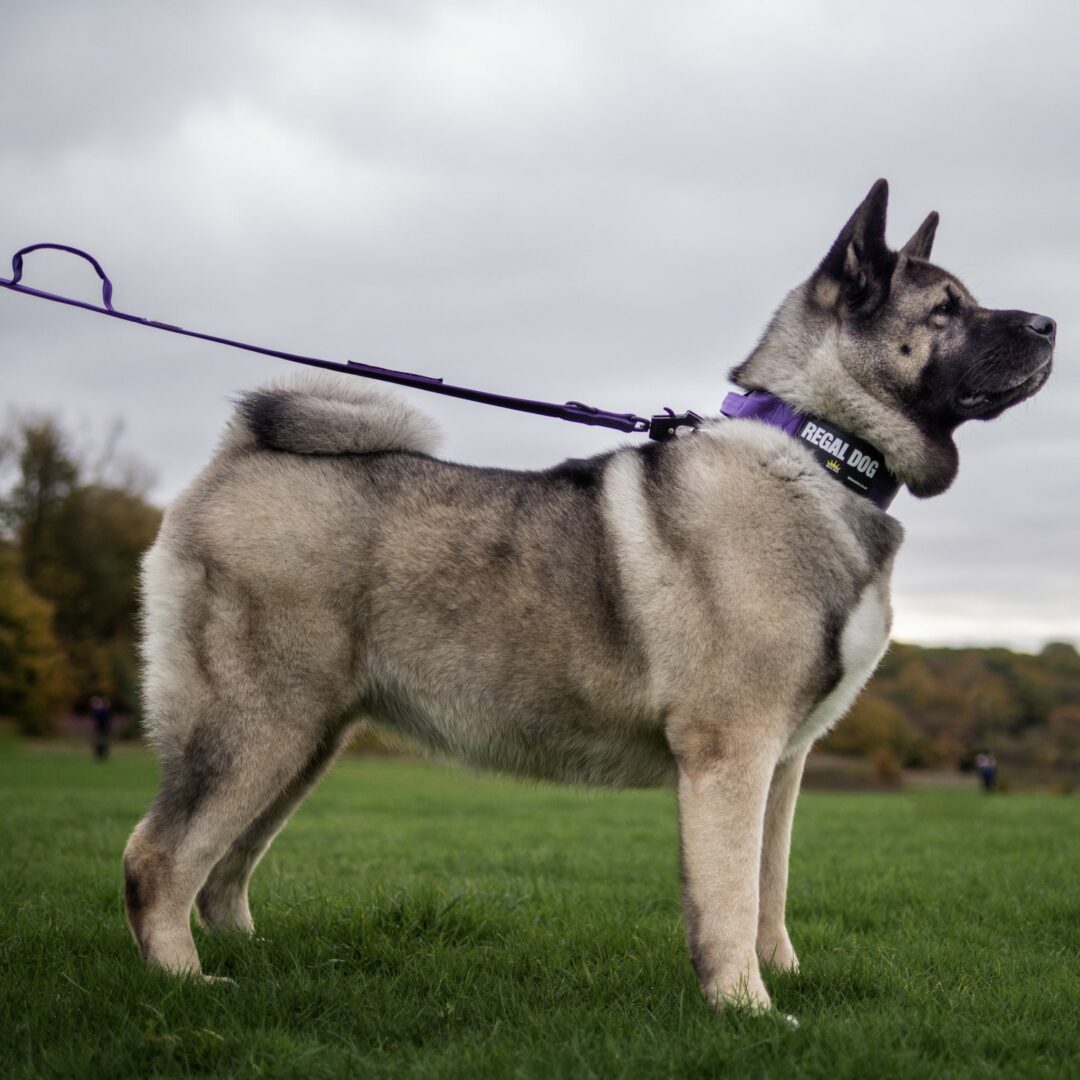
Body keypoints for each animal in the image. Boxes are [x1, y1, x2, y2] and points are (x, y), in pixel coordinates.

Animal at [122, 179, 1049, 1010]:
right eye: (946, 310)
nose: (1048, 324)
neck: (817, 452)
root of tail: (240, 456)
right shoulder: (733, 752)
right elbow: (729, 896)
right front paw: (747, 1009)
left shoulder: (783, 762)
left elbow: (768, 887)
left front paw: (779, 977)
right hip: (258, 724)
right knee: (159, 859)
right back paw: (185, 984)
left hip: (307, 737)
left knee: (223, 870)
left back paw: (252, 958)